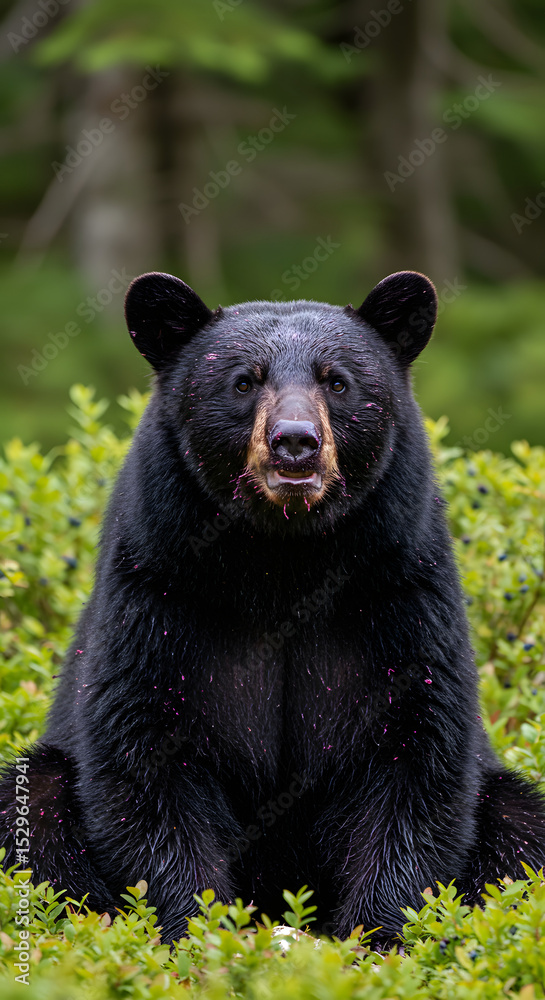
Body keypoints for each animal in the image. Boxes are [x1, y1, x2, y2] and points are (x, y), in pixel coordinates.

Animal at [2, 269, 545, 944]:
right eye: (243, 381)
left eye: (338, 381)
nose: (295, 443)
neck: (282, 560)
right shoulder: (156, 587)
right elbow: (141, 747)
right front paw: (197, 925)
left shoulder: (401, 588)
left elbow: (417, 747)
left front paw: (377, 935)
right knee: (35, 806)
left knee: (519, 826)